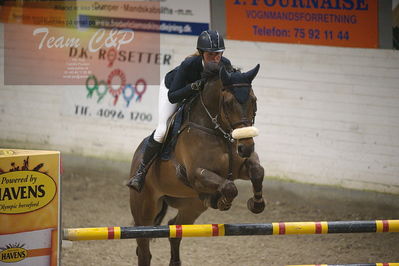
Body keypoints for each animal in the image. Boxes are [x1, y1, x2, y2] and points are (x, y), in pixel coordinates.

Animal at [129, 62, 266, 266]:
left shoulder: (240, 167)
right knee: (144, 248)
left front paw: (256, 204)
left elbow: (257, 171)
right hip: (144, 210)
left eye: (254, 101)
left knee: (174, 228)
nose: (246, 147)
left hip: (191, 206)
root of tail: (137, 156)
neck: (218, 131)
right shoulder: (195, 174)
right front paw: (224, 202)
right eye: (227, 103)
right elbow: (229, 187)